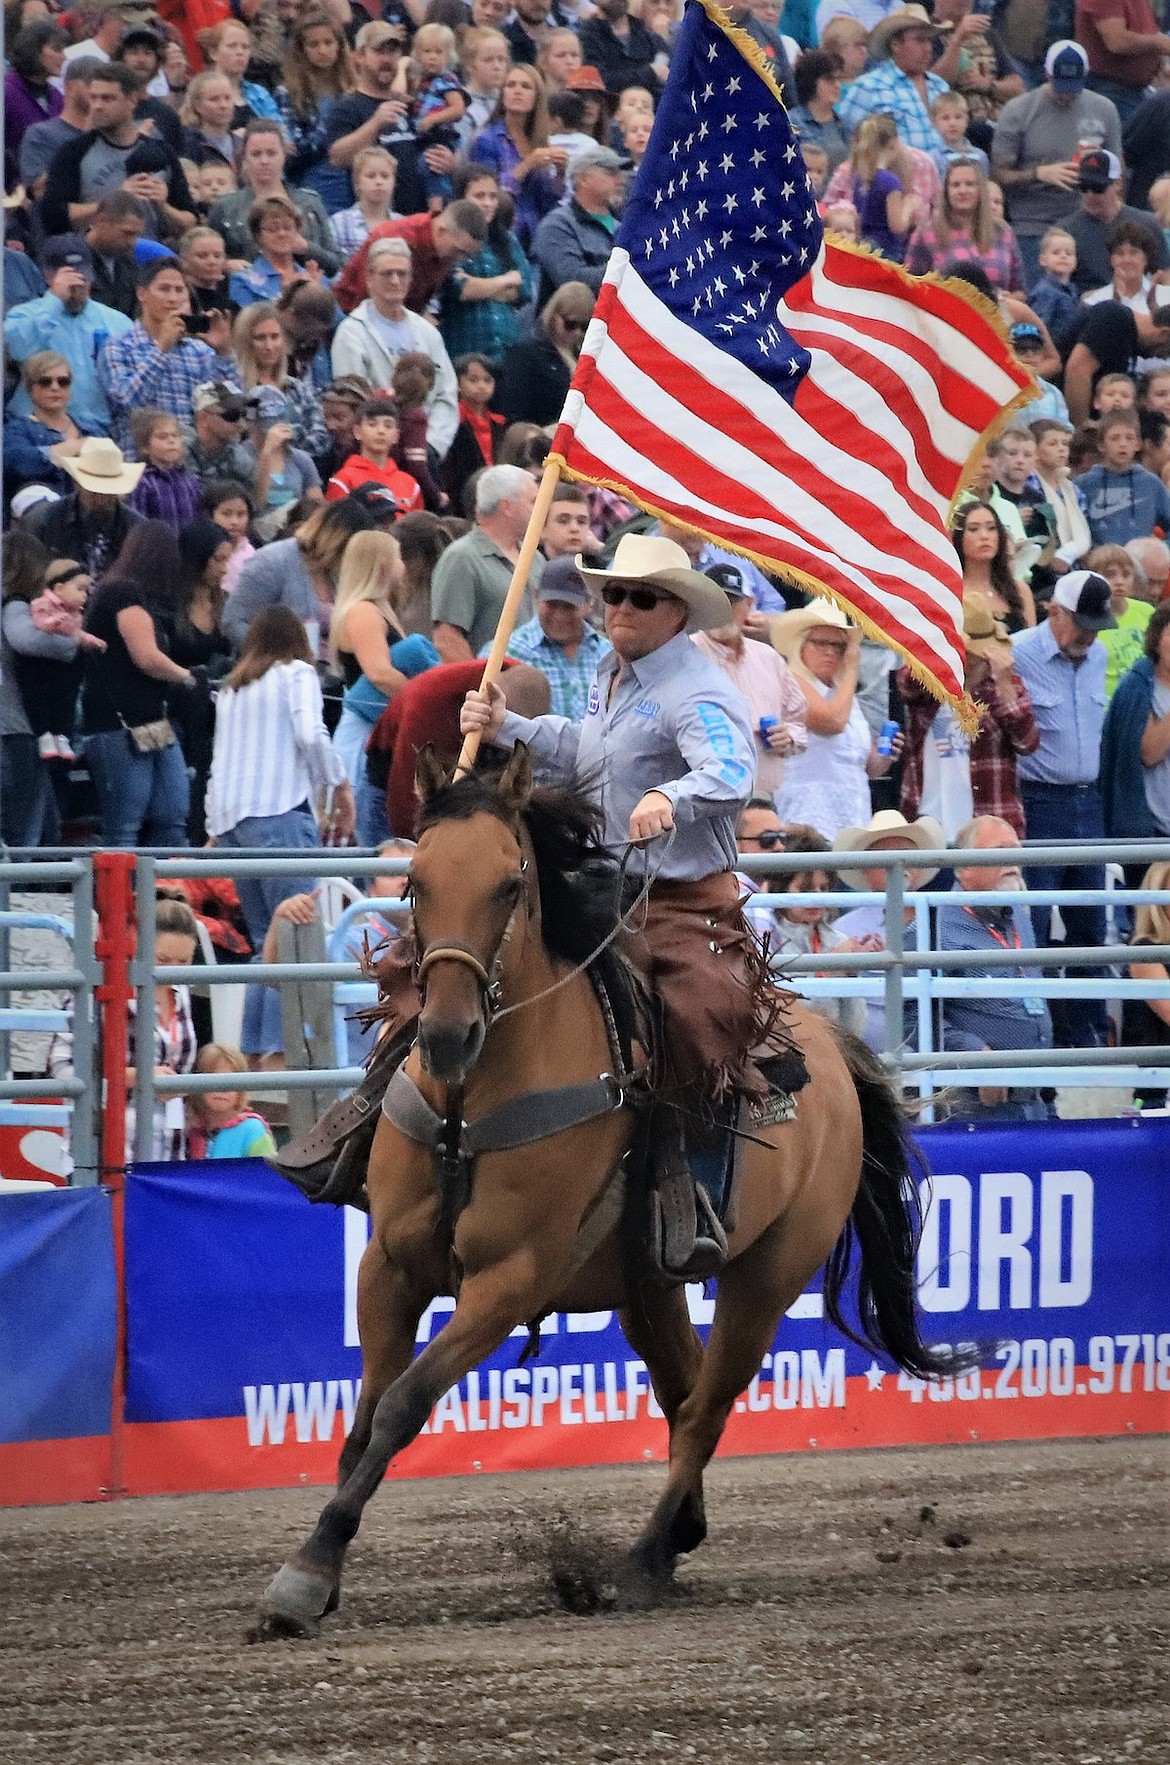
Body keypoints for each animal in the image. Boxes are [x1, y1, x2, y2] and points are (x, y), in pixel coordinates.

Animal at [261, 737, 967, 1630]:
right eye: (415, 880)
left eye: (511, 882)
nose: (448, 1033)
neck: (471, 1105)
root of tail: (834, 1049)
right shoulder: (388, 1264)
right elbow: (360, 1421)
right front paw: (320, 1571)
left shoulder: (509, 1281)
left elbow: (402, 1404)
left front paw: (308, 1569)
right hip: (646, 1284)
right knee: (682, 1386)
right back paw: (679, 1533)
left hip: (769, 1275)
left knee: (705, 1406)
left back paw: (641, 1558)